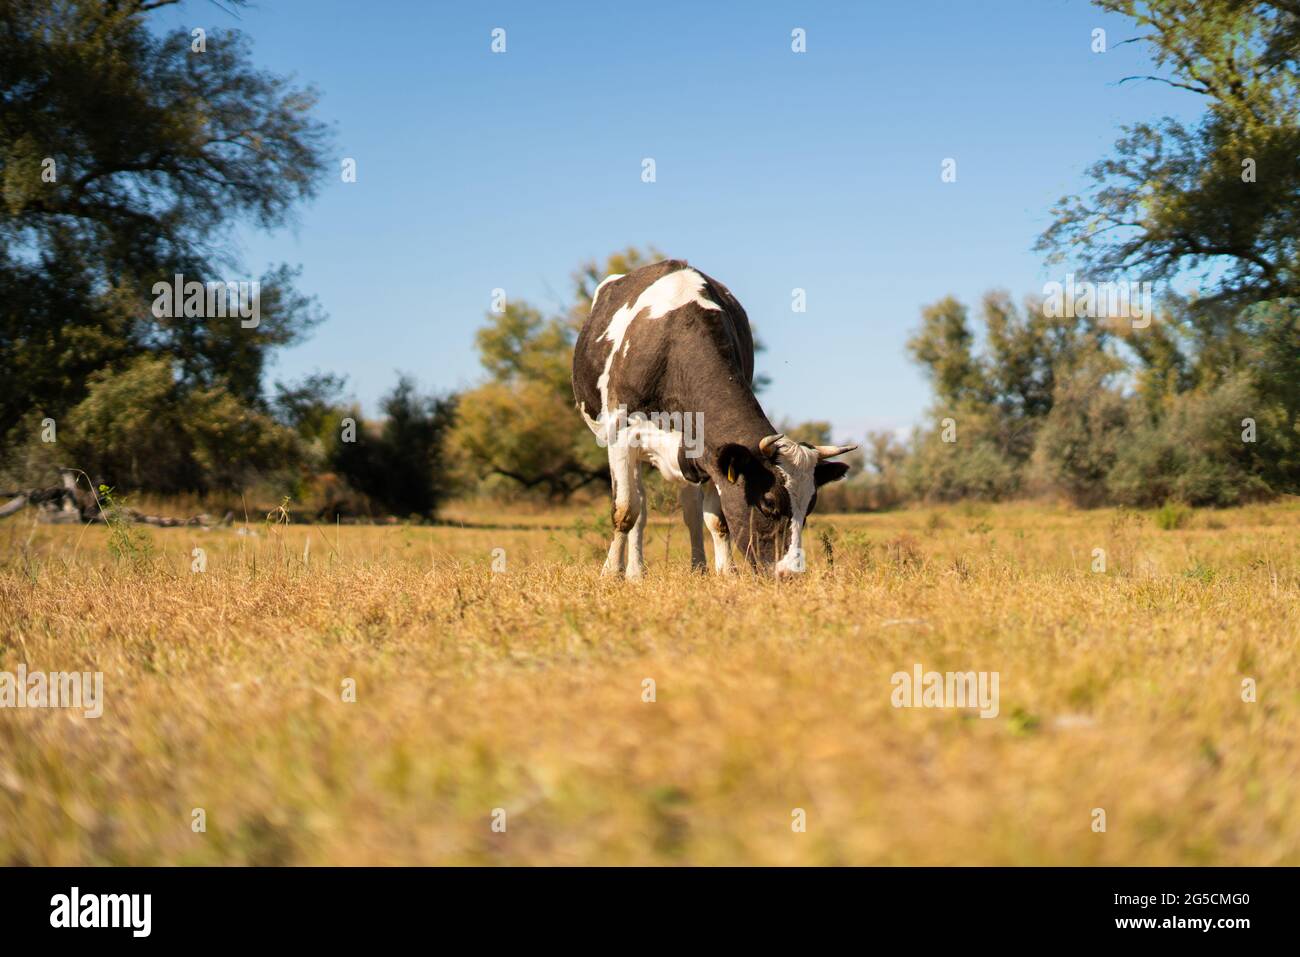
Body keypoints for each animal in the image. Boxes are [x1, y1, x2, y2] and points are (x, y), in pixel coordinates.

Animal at [571, 259, 856, 579]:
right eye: (768, 502)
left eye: (809, 507)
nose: (791, 573)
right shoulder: (620, 434)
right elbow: (625, 511)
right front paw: (610, 573)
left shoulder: (711, 450)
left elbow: (716, 519)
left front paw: (727, 573)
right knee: (640, 507)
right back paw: (634, 572)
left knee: (690, 511)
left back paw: (695, 567)